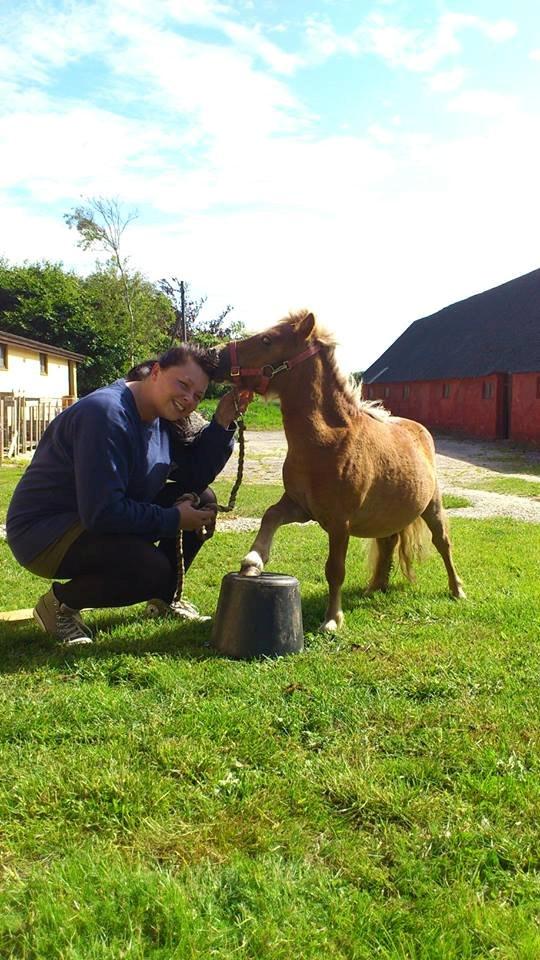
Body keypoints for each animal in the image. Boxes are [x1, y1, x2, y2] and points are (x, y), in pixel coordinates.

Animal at [214, 312, 464, 632]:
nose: (215, 354)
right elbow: (270, 515)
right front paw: (253, 562)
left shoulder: (338, 523)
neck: (329, 439)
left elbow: (335, 570)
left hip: (432, 507)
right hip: (387, 515)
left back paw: (457, 590)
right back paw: (375, 587)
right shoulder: (301, 507)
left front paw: (332, 619)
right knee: (388, 544)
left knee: (443, 543)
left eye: (267, 340)